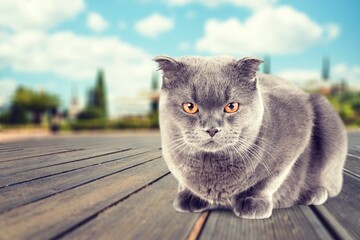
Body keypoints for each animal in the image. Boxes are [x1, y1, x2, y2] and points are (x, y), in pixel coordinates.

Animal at [154, 55, 346, 218]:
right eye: (189, 107)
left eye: (231, 106)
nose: (212, 129)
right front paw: (188, 196)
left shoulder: (297, 131)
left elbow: (272, 178)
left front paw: (254, 202)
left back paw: (313, 193)